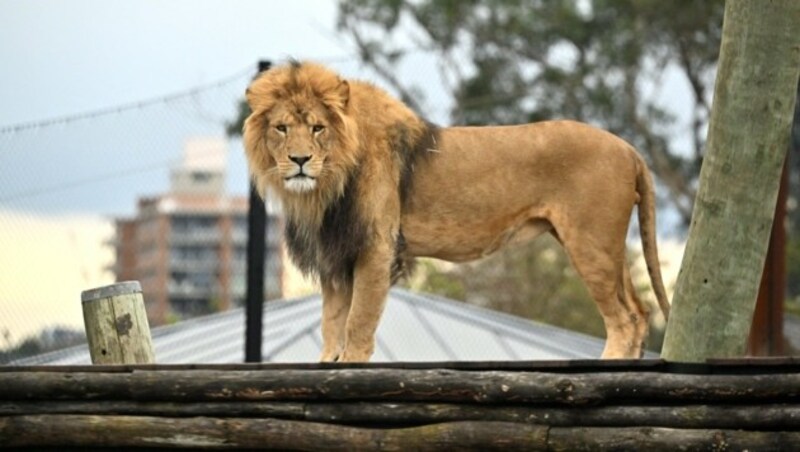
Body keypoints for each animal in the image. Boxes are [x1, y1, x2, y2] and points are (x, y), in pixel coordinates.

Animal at [242, 61, 668, 364]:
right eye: (281, 128)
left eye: (317, 128)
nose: (299, 160)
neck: (325, 187)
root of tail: (628, 148)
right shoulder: (336, 254)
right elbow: (332, 323)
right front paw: (327, 363)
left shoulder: (375, 248)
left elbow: (358, 323)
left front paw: (349, 368)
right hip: (607, 246)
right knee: (640, 312)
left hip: (590, 242)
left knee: (624, 318)